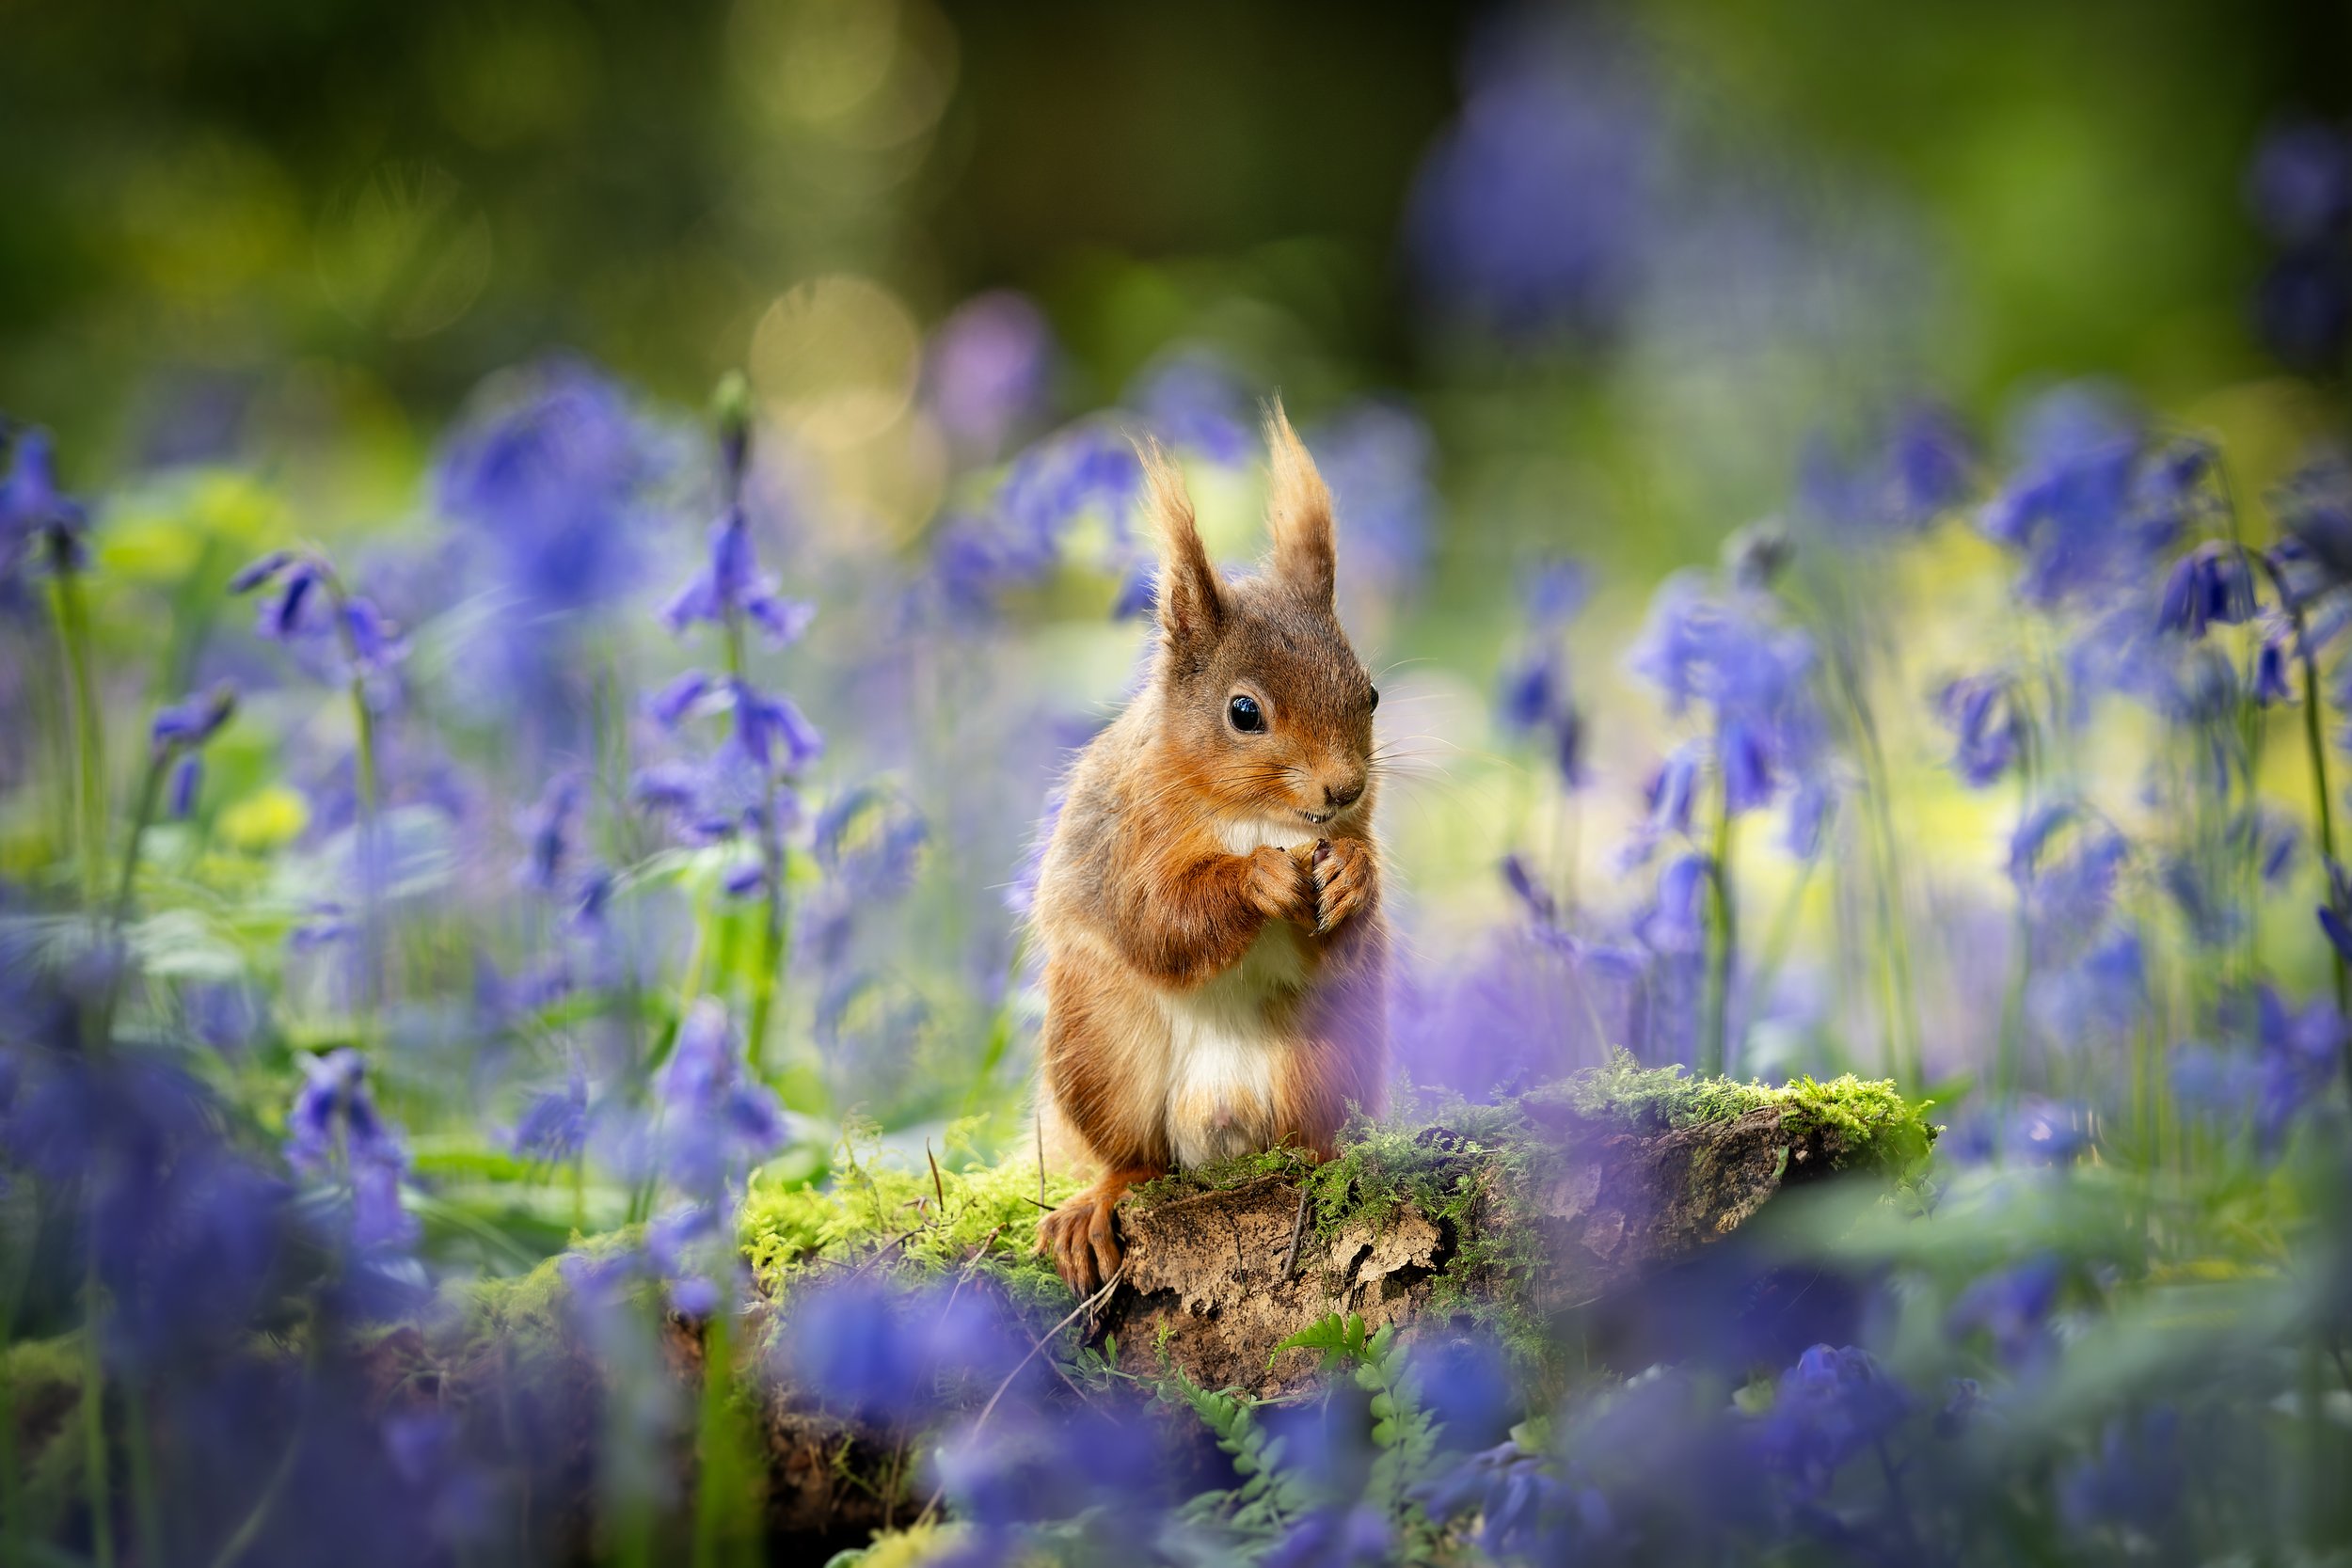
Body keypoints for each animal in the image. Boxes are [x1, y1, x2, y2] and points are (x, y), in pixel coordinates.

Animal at [1030, 403, 1388, 1296]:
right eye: (1243, 711)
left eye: (1369, 692)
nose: (1343, 788)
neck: (1256, 815)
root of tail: (1220, 1129)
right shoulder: (1125, 840)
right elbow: (1158, 921)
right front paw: (1256, 879)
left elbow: (1345, 919)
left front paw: (1353, 876)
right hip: (1100, 1050)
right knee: (1136, 1160)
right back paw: (1101, 1201)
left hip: (1331, 1045)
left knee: (1307, 1136)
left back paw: (1325, 1157)